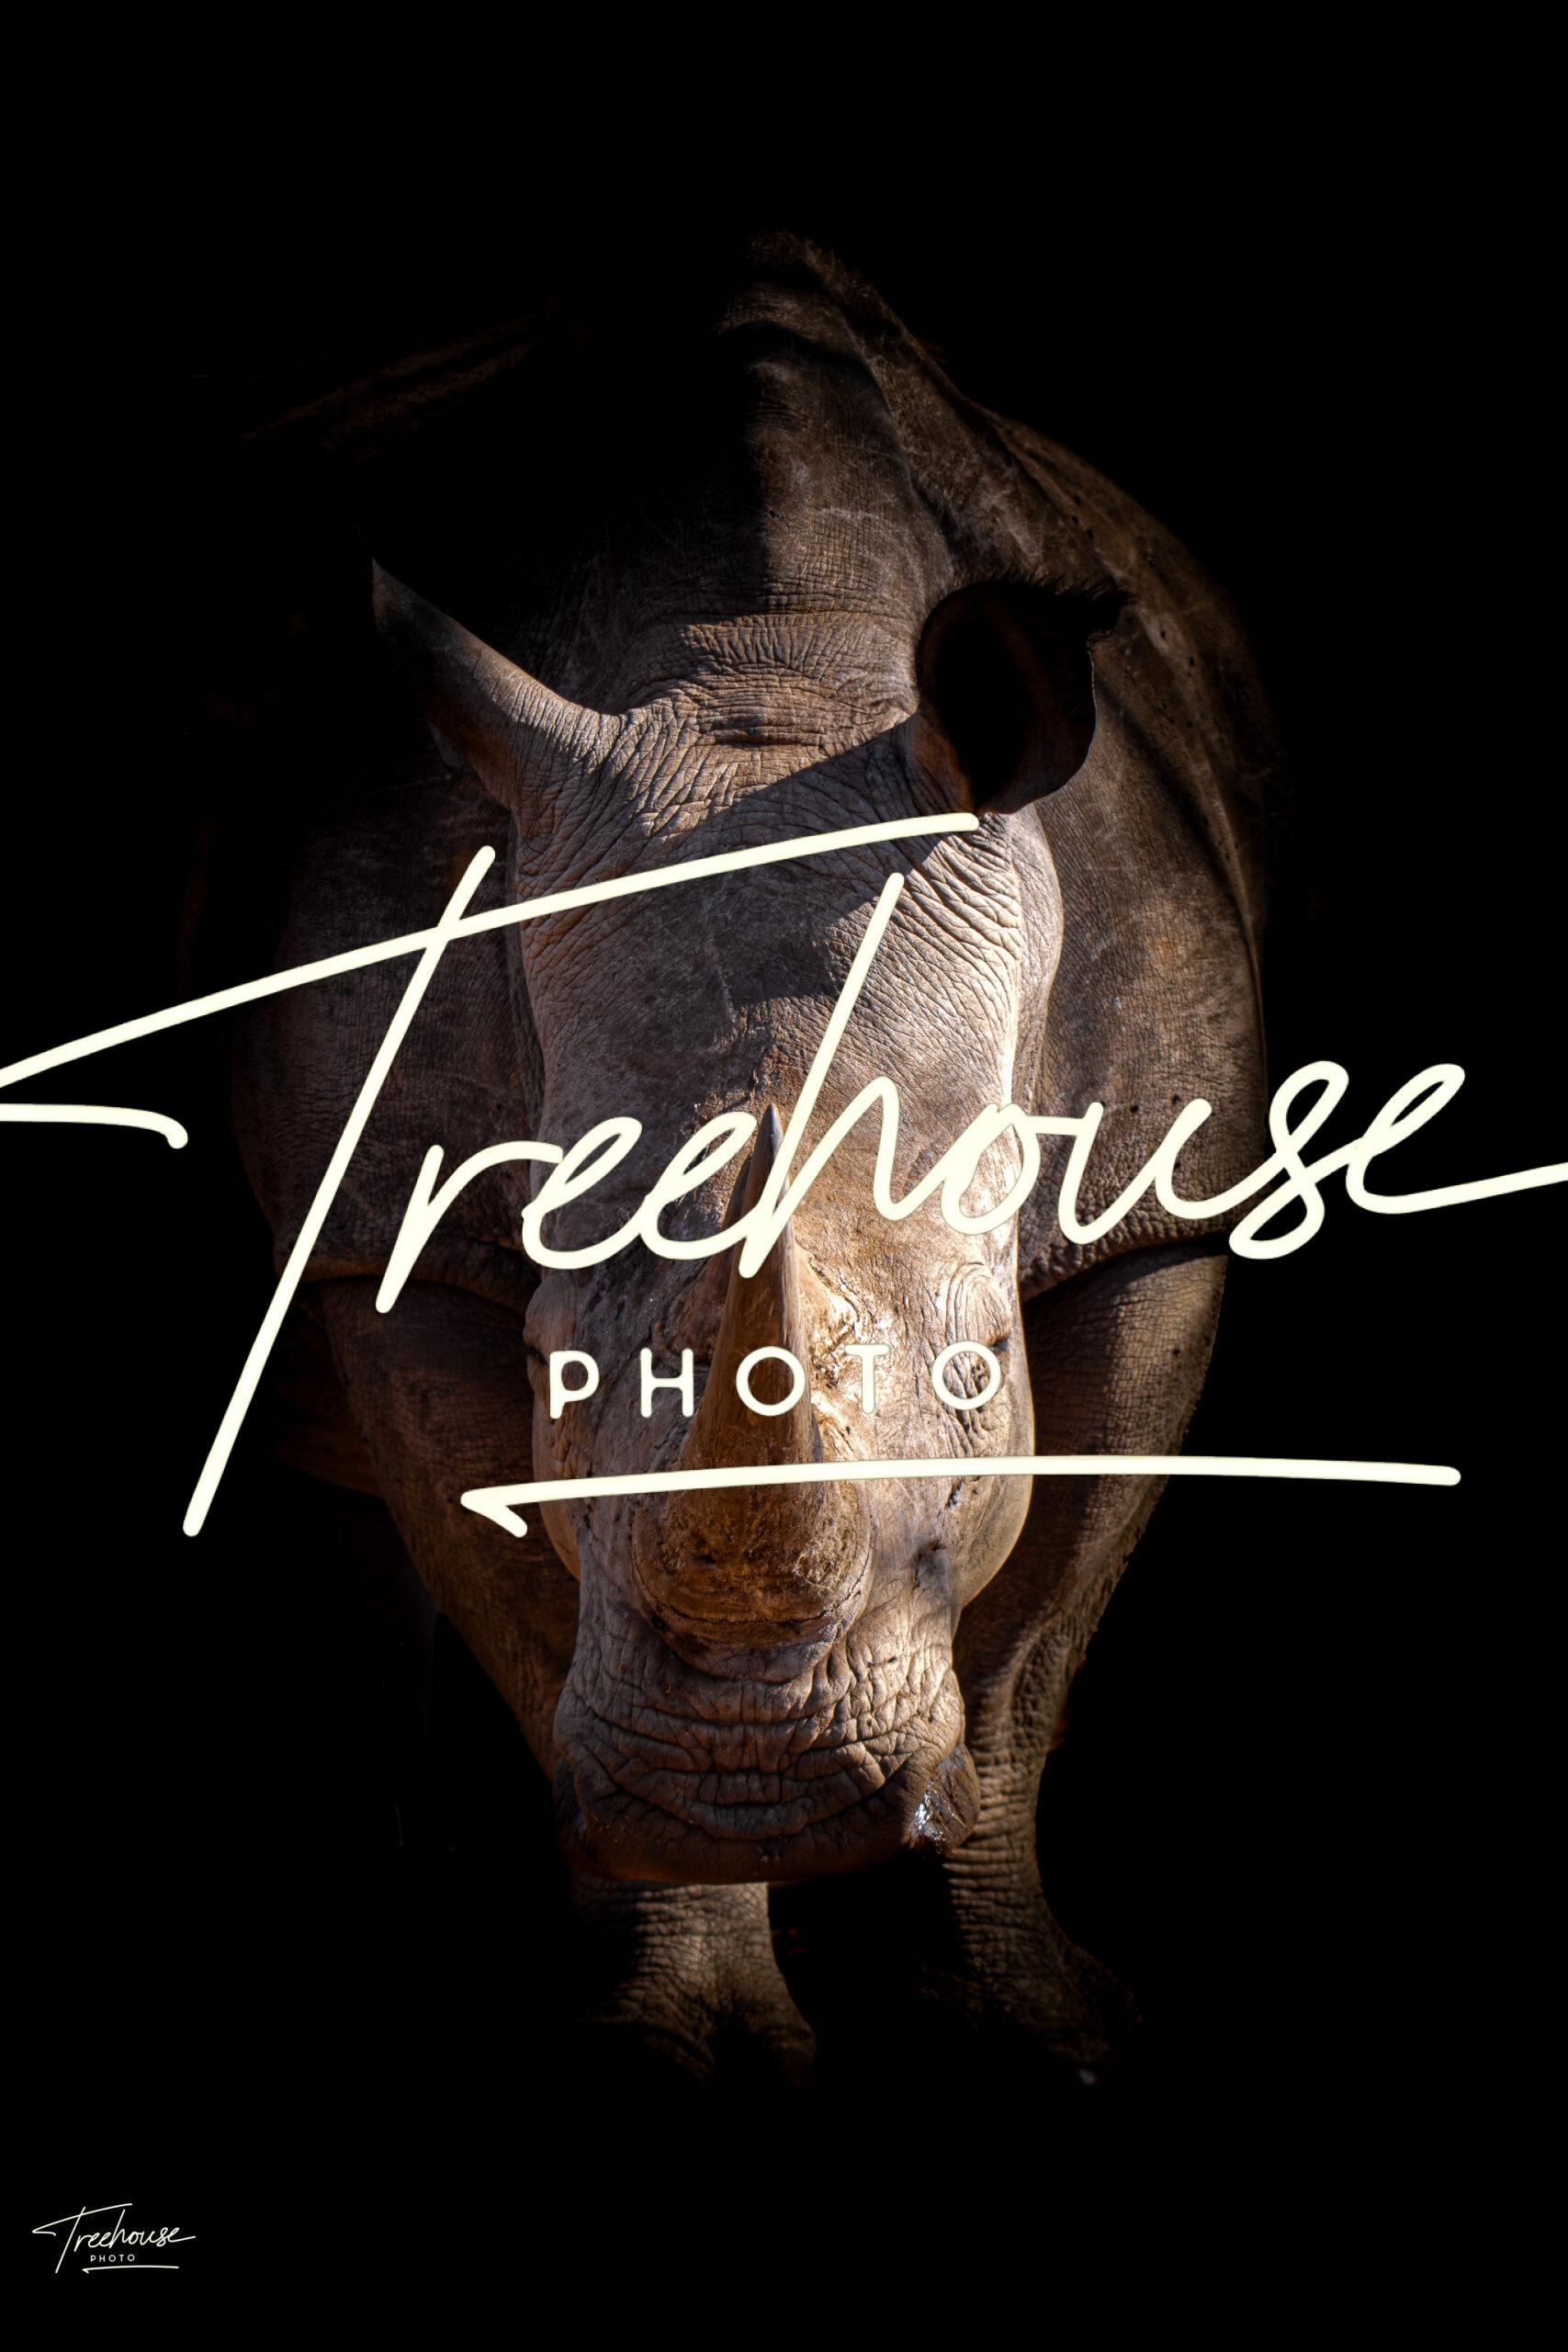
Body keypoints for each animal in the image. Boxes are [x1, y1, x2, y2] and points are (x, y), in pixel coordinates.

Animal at [234, 232, 1275, 2093]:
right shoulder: (384, 1221)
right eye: (549, 1369)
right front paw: (685, 2044)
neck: (769, 688)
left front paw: (1028, 2034)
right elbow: (513, 1586)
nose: (751, 1801)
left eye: (982, 1362)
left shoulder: (1164, 1205)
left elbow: (1031, 1646)